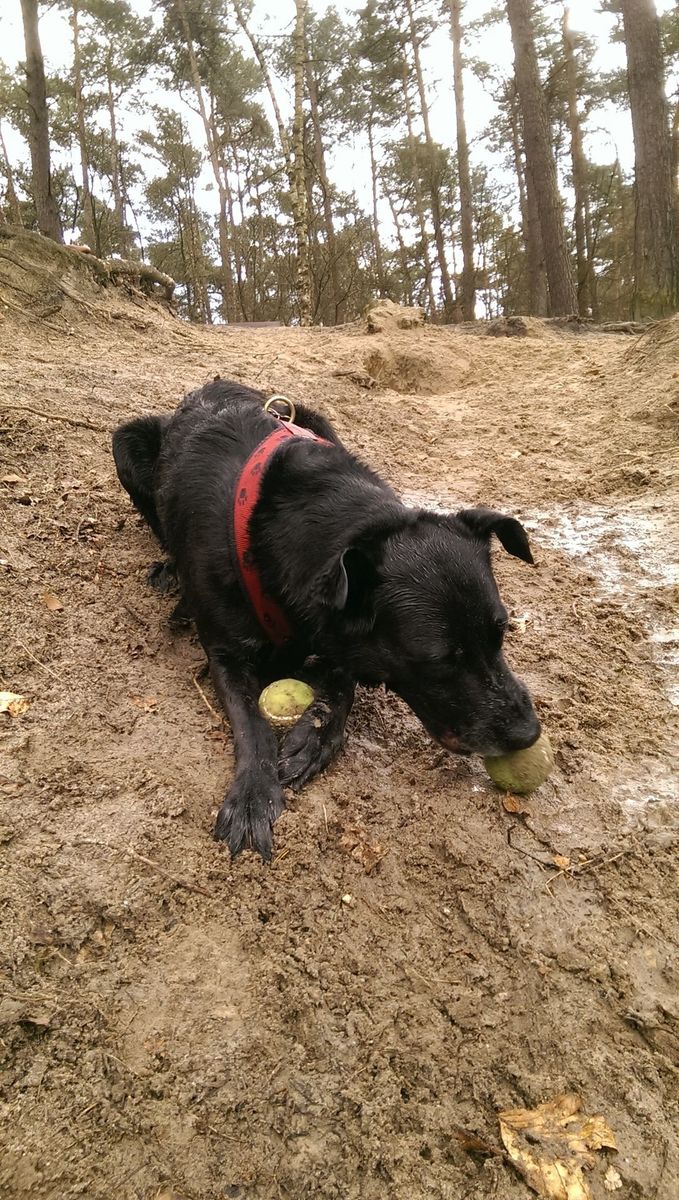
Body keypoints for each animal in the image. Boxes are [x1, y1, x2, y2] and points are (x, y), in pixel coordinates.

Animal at [112, 379, 540, 859]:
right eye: (440, 660)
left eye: (501, 632)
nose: (528, 733)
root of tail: (216, 383)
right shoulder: (224, 652)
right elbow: (251, 723)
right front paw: (253, 793)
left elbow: (342, 683)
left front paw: (315, 736)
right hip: (126, 441)